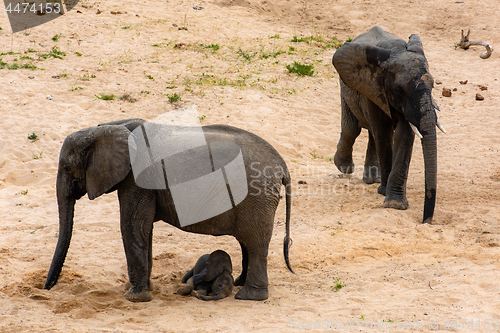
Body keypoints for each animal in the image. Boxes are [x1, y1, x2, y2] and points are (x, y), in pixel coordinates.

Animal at [44, 118, 292, 300]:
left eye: (67, 167)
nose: (46, 288)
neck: (107, 128)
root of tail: (282, 166)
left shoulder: (137, 179)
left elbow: (132, 226)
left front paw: (135, 298)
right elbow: (144, 230)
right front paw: (144, 290)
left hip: (257, 196)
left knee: (255, 242)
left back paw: (249, 296)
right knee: (247, 242)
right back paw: (240, 284)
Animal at [332, 26, 446, 223]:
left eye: (432, 86)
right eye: (399, 90)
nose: (426, 221)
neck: (397, 51)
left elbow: (404, 135)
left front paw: (395, 204)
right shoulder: (373, 87)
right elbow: (382, 133)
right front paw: (388, 197)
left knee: (371, 134)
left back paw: (373, 179)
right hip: (346, 87)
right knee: (353, 129)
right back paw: (344, 167)